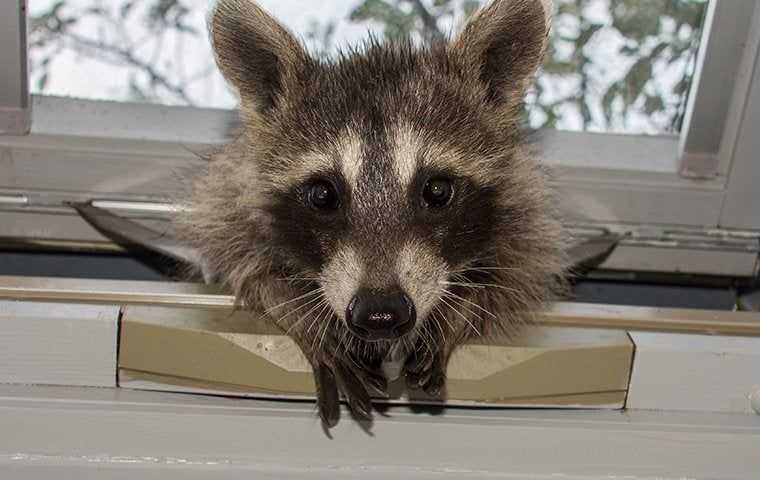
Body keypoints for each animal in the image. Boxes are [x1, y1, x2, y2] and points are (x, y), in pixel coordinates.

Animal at [180, 0, 564, 428]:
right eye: (323, 195)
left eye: (437, 190)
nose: (381, 314)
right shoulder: (231, 194)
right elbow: (239, 259)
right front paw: (301, 312)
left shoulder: (523, 202)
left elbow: (516, 269)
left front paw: (461, 307)